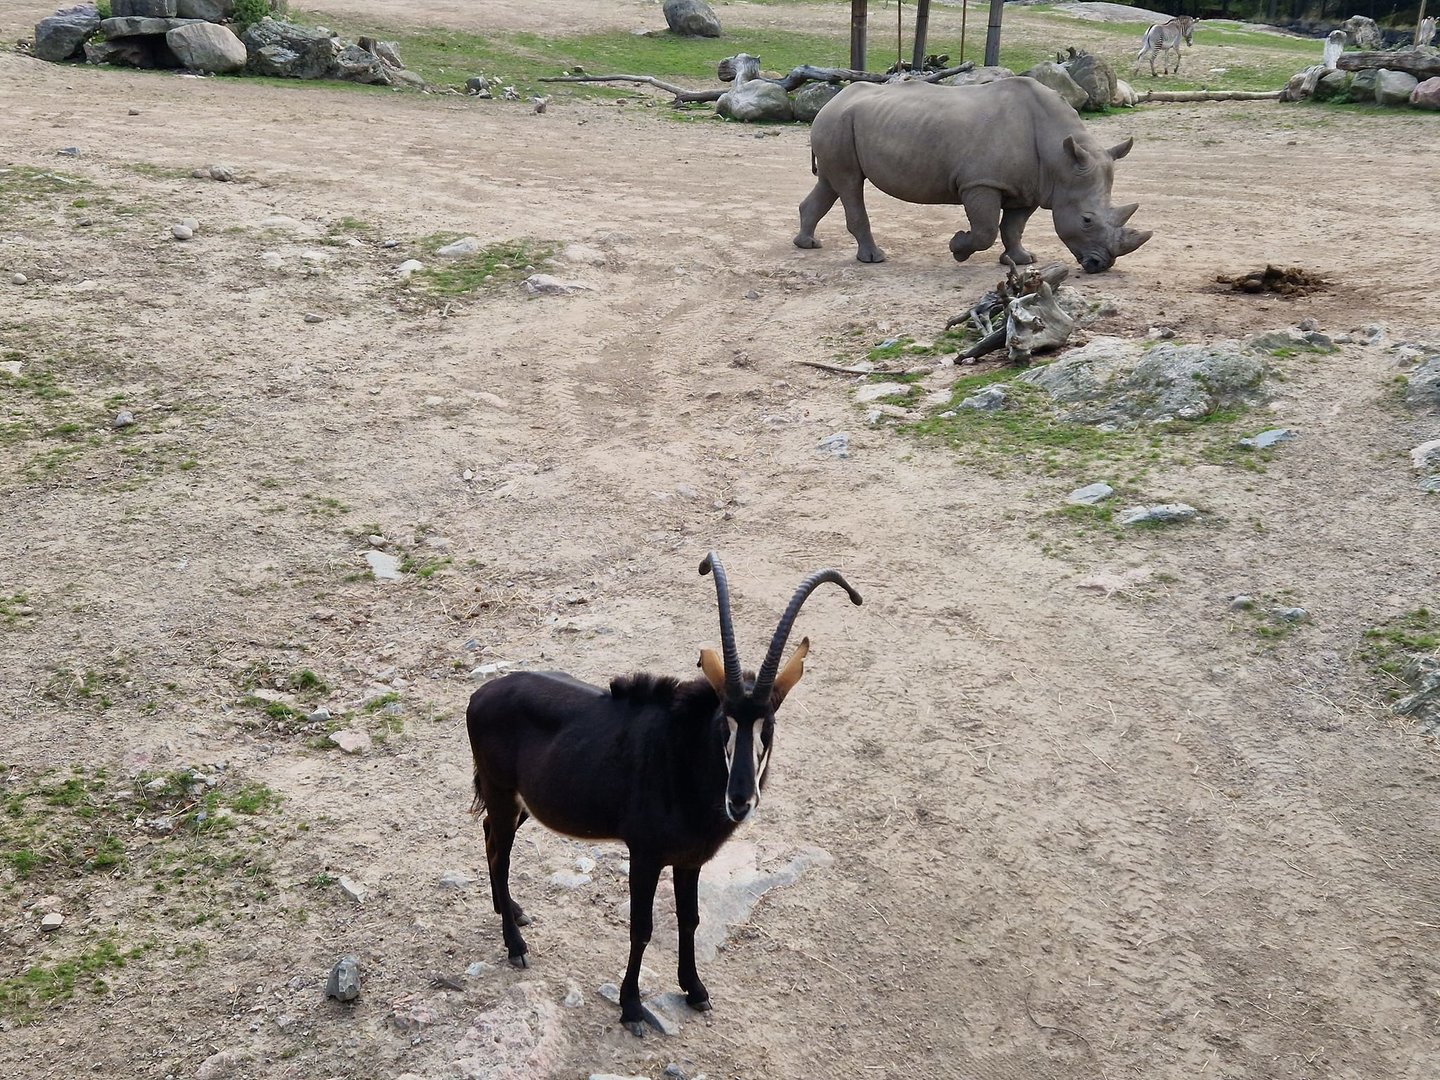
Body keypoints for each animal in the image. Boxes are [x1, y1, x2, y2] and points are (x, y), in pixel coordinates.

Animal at [794, 78, 1152, 274]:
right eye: (1087, 220)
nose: (1101, 265)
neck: (1060, 159)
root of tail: (831, 101)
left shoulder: (1030, 187)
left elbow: (1013, 227)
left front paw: (1022, 260)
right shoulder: (981, 183)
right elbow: (985, 230)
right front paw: (957, 248)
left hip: (839, 123)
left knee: (830, 182)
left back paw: (807, 244)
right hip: (839, 123)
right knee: (850, 184)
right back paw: (874, 259)